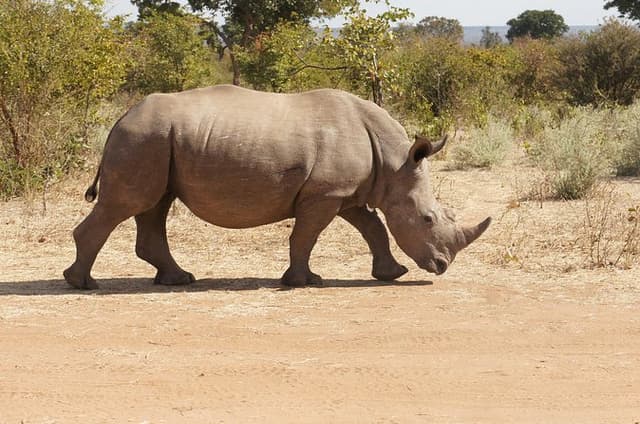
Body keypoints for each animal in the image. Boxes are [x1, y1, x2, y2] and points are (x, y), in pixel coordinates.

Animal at [63, 85, 491, 289]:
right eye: (428, 218)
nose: (442, 266)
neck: (394, 161)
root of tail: (120, 118)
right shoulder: (326, 194)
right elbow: (306, 236)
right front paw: (303, 282)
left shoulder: (346, 193)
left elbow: (374, 228)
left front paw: (392, 274)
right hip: (143, 138)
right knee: (127, 205)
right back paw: (83, 284)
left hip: (155, 140)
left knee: (155, 206)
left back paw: (179, 279)